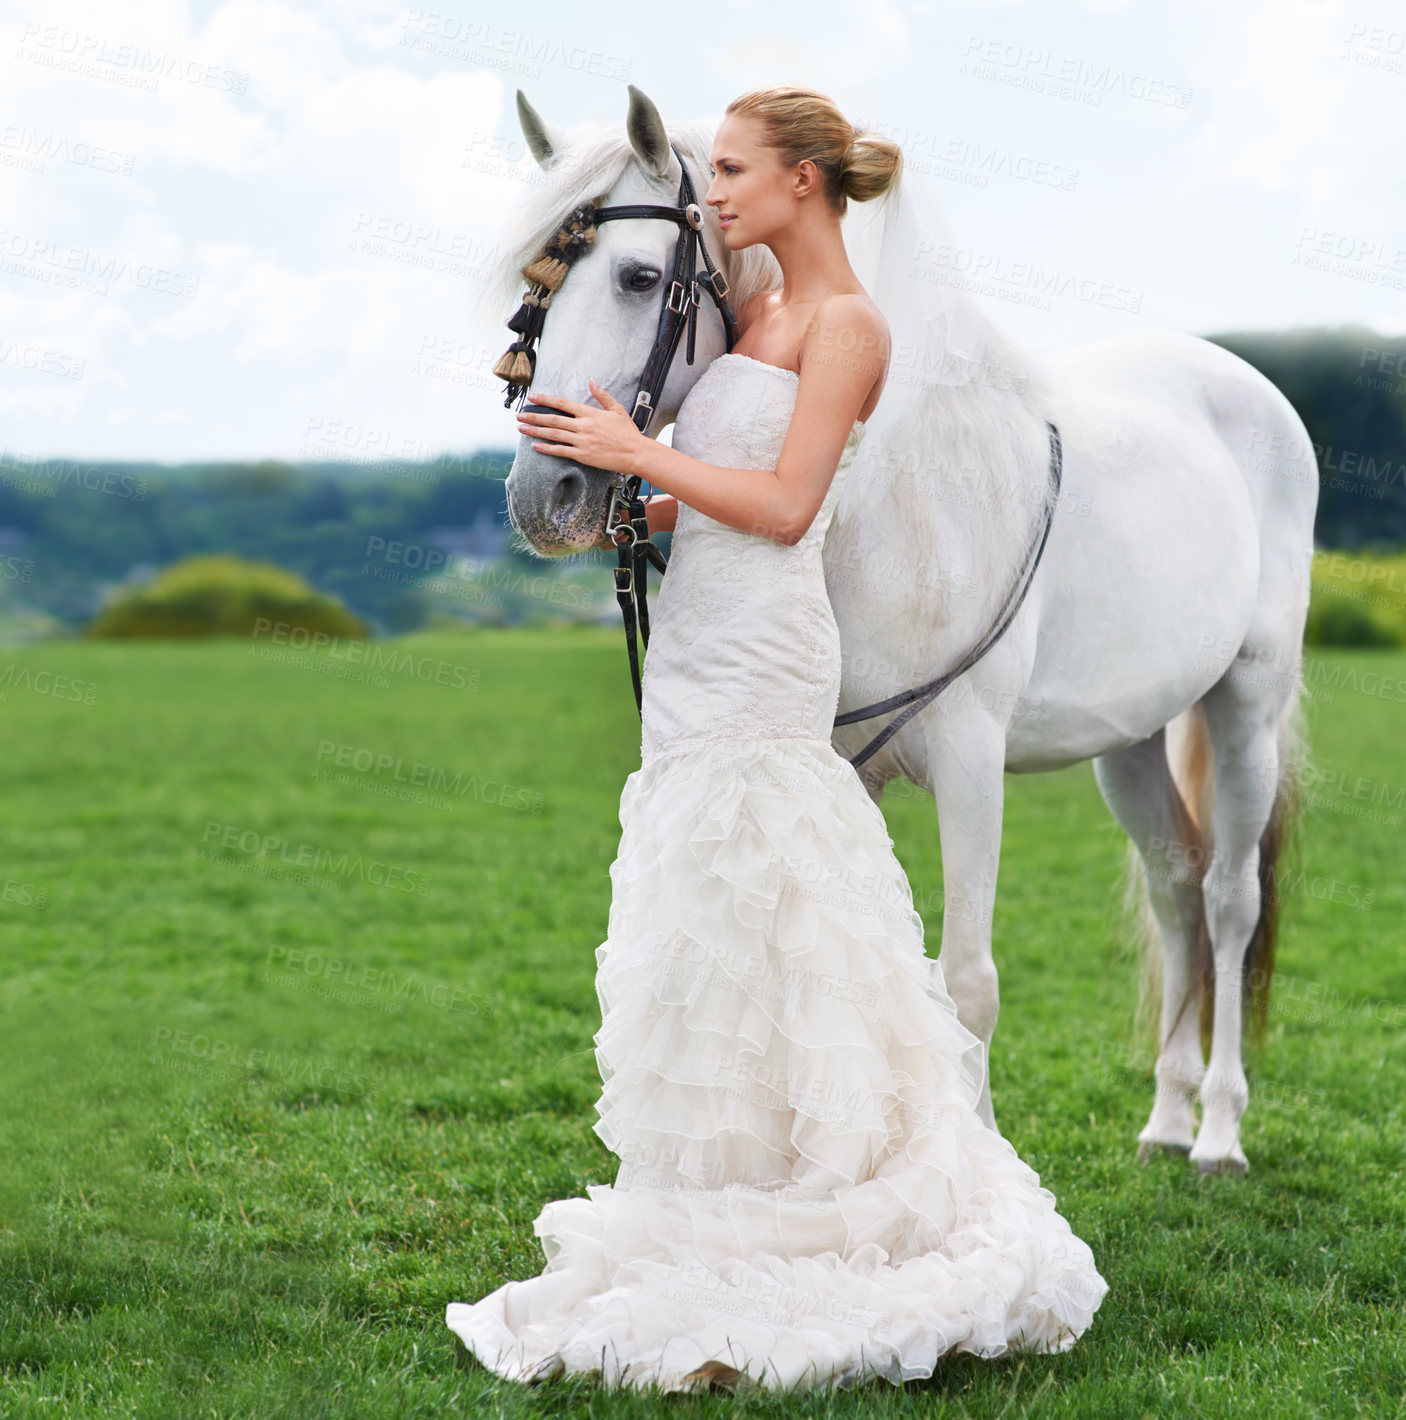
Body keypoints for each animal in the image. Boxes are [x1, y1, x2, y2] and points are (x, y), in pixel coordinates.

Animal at [491, 88, 1317, 1175]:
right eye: (535, 290)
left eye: (634, 276)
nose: (543, 497)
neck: (871, 512)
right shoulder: (849, 765)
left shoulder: (968, 761)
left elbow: (965, 982)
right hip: (1131, 737)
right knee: (1175, 888)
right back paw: (1167, 1119)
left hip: (1244, 707)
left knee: (1228, 899)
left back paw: (1218, 1130)